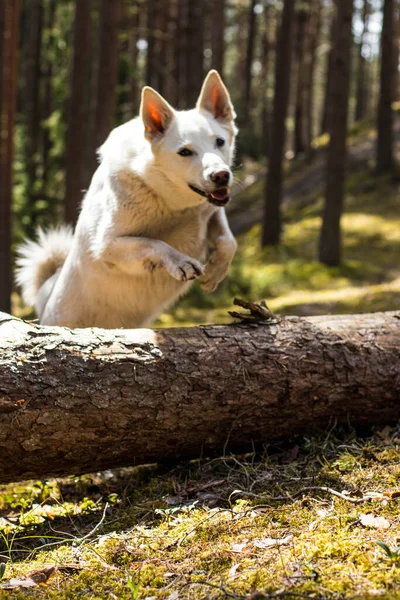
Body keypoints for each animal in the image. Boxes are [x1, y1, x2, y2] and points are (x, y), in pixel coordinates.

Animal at [16, 70, 238, 328]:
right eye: (185, 152)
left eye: (219, 142)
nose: (221, 176)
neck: (172, 204)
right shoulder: (106, 246)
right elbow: (153, 242)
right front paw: (180, 262)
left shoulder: (211, 211)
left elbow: (229, 241)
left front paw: (215, 272)